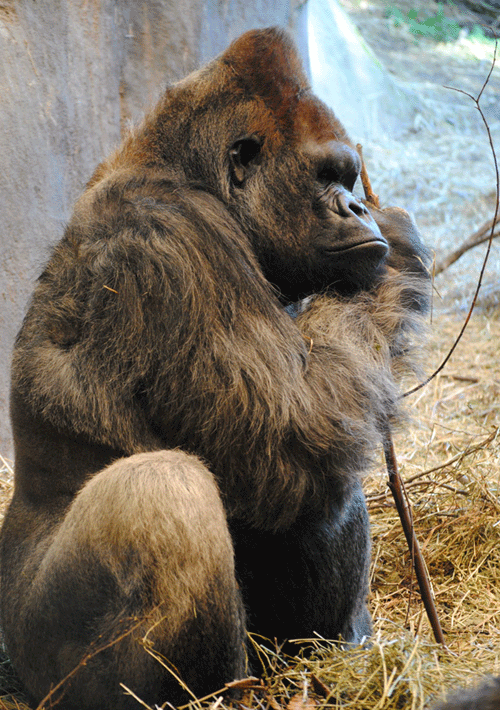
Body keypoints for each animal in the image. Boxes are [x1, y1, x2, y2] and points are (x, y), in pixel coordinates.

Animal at [0, 27, 430, 710]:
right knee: (163, 490)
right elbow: (289, 439)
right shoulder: (174, 237)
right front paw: (400, 249)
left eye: (349, 176)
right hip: (44, 661)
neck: (182, 167)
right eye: (328, 175)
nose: (359, 210)